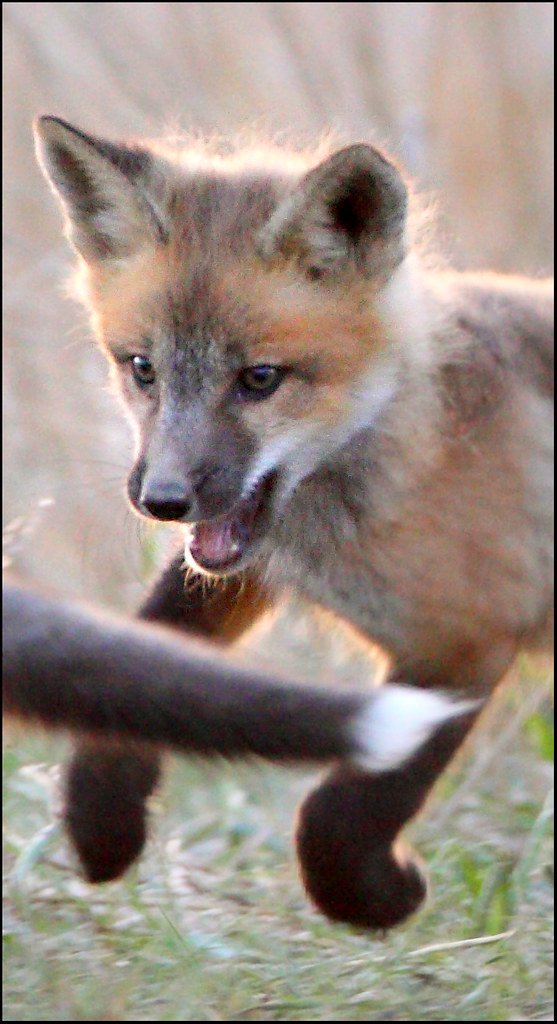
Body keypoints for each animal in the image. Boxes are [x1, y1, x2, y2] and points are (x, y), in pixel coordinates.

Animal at [20, 115, 553, 930]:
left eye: (260, 379)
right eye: (142, 368)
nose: (162, 500)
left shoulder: (468, 640)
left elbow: (340, 814)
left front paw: (375, 897)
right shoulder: (239, 564)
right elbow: (148, 659)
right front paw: (102, 818)